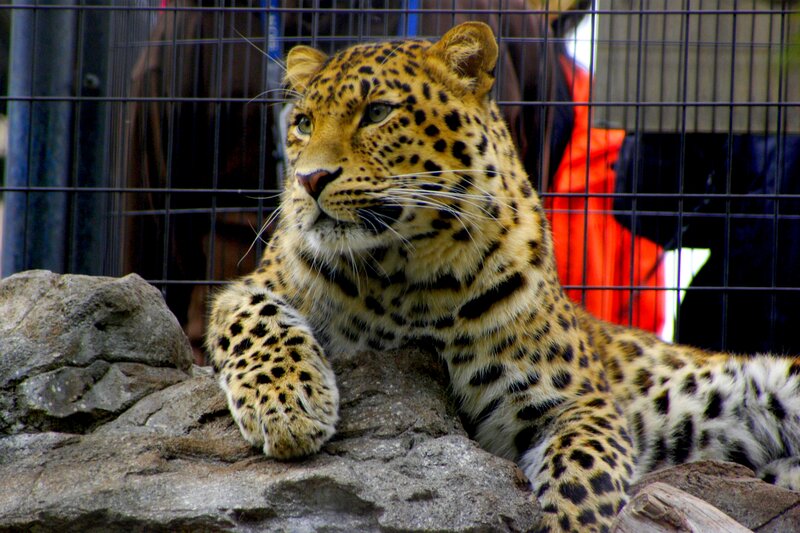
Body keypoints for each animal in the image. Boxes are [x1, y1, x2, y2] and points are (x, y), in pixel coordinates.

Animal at [205, 21, 800, 533]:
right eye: (302, 123)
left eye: (377, 112)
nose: (308, 180)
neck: (401, 277)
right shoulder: (254, 286)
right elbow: (253, 319)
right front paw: (288, 411)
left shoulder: (578, 401)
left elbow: (583, 475)